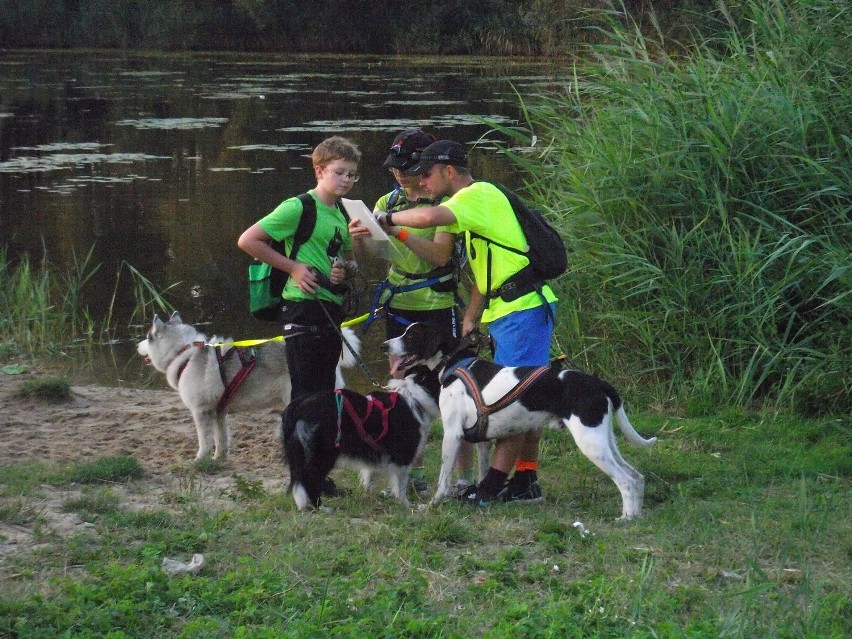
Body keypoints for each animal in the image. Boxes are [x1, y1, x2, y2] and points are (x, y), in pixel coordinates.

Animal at [138, 312, 358, 462]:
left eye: (147, 337)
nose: (137, 345)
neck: (184, 353)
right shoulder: (218, 412)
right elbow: (221, 437)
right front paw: (218, 459)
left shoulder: (201, 412)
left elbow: (204, 440)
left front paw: (199, 460)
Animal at [284, 364, 442, 510]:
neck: (416, 399)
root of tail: (300, 406)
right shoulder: (403, 455)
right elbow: (401, 485)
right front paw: (407, 505)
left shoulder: (377, 456)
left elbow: (371, 480)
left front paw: (369, 499)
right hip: (324, 453)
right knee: (310, 478)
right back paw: (321, 507)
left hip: (299, 452)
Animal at [386, 324, 660, 520]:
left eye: (411, 335)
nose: (383, 345)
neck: (454, 363)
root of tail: (598, 383)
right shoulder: (481, 439)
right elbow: (484, 472)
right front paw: (479, 496)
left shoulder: (453, 434)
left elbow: (443, 479)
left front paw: (432, 505)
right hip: (604, 441)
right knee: (637, 477)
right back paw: (635, 517)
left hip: (591, 443)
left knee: (626, 481)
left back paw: (625, 519)